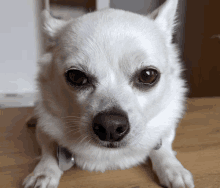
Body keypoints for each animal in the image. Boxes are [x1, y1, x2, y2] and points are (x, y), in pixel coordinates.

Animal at [22, 0, 194, 187]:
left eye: (148, 75)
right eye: (76, 76)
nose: (110, 125)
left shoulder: (167, 127)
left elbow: (162, 146)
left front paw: (173, 168)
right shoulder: (44, 128)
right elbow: (49, 150)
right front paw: (43, 172)